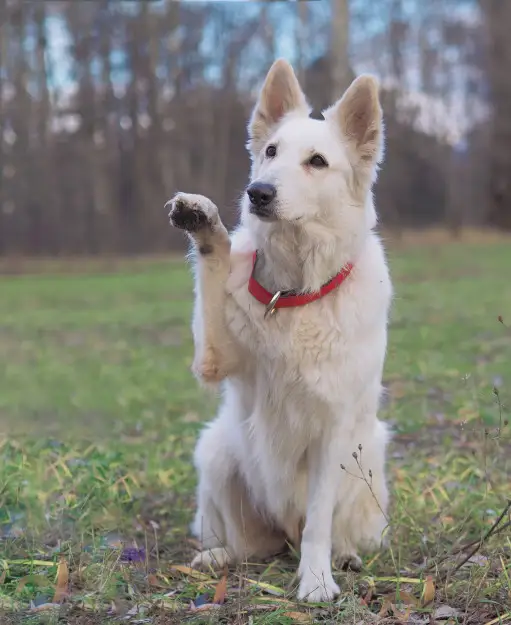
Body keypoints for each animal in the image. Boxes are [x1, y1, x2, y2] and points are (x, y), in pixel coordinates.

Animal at [167, 59, 392, 604]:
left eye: (317, 162)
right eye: (270, 152)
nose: (259, 193)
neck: (294, 294)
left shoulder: (333, 434)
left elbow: (318, 526)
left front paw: (316, 581)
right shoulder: (213, 355)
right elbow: (215, 266)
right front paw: (205, 225)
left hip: (369, 454)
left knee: (325, 533)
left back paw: (345, 556)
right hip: (218, 449)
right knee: (250, 546)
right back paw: (218, 556)